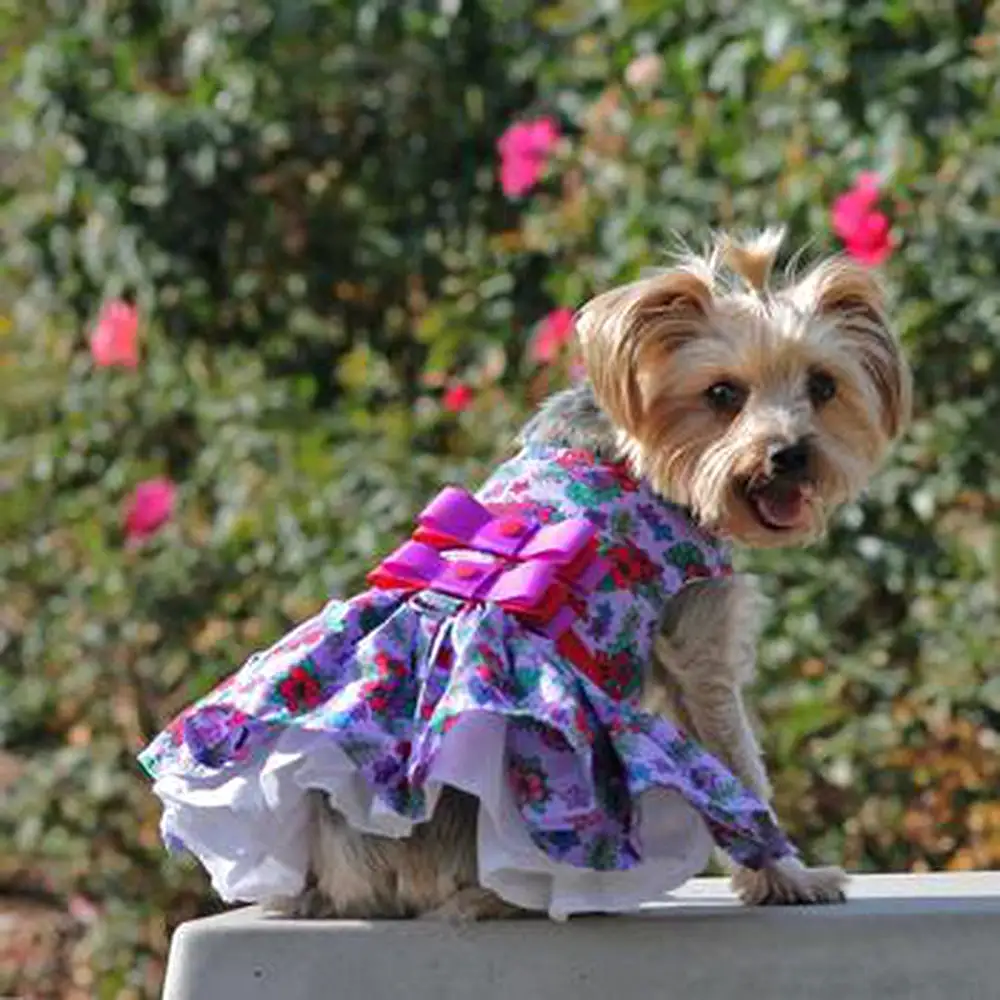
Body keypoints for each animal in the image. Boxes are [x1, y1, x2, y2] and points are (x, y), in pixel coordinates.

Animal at [278, 230, 912, 916]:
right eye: (722, 394)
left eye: (823, 387)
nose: (790, 454)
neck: (645, 457)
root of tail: (333, 873)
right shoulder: (699, 645)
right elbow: (740, 770)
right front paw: (790, 878)